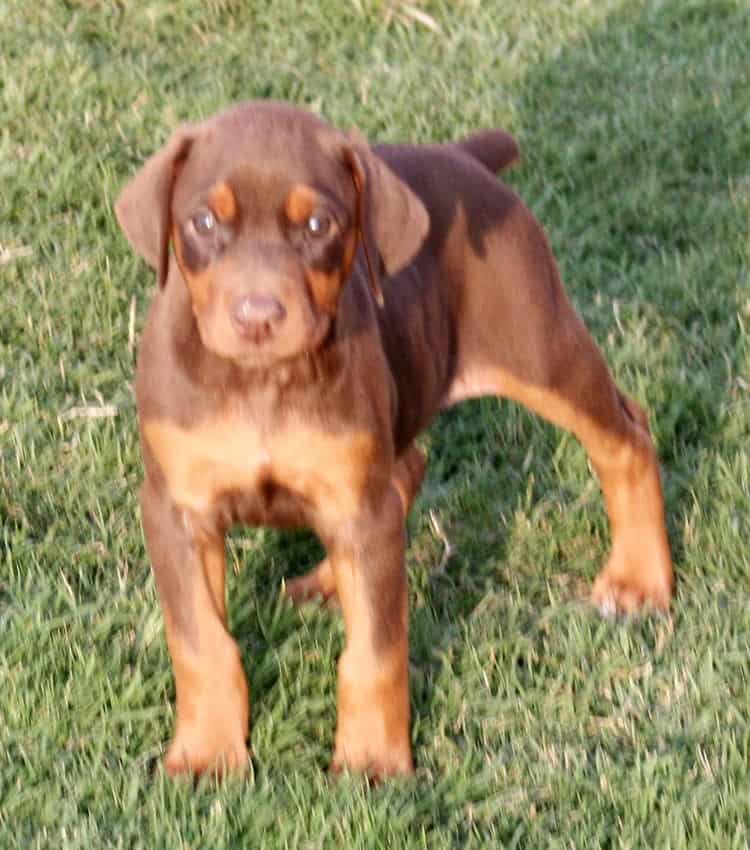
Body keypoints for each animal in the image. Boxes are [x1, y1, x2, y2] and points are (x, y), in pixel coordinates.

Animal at [116, 99, 676, 776]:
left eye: (318, 225)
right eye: (202, 222)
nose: (257, 317)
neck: (263, 382)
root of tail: (460, 156)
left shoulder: (361, 503)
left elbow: (374, 651)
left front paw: (371, 762)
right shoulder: (177, 510)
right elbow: (202, 644)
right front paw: (207, 755)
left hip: (539, 350)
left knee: (626, 435)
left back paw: (639, 580)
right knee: (408, 470)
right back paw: (328, 581)